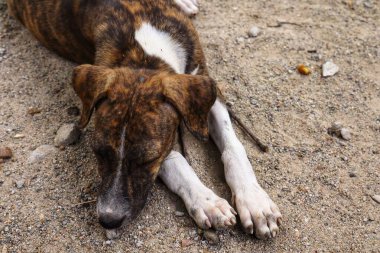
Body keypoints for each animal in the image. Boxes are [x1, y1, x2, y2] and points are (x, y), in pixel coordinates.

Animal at [5, 0, 282, 239]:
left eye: (147, 159)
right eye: (98, 152)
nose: (108, 220)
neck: (145, 54)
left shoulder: (206, 88)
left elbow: (233, 147)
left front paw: (255, 202)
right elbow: (178, 163)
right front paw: (206, 201)